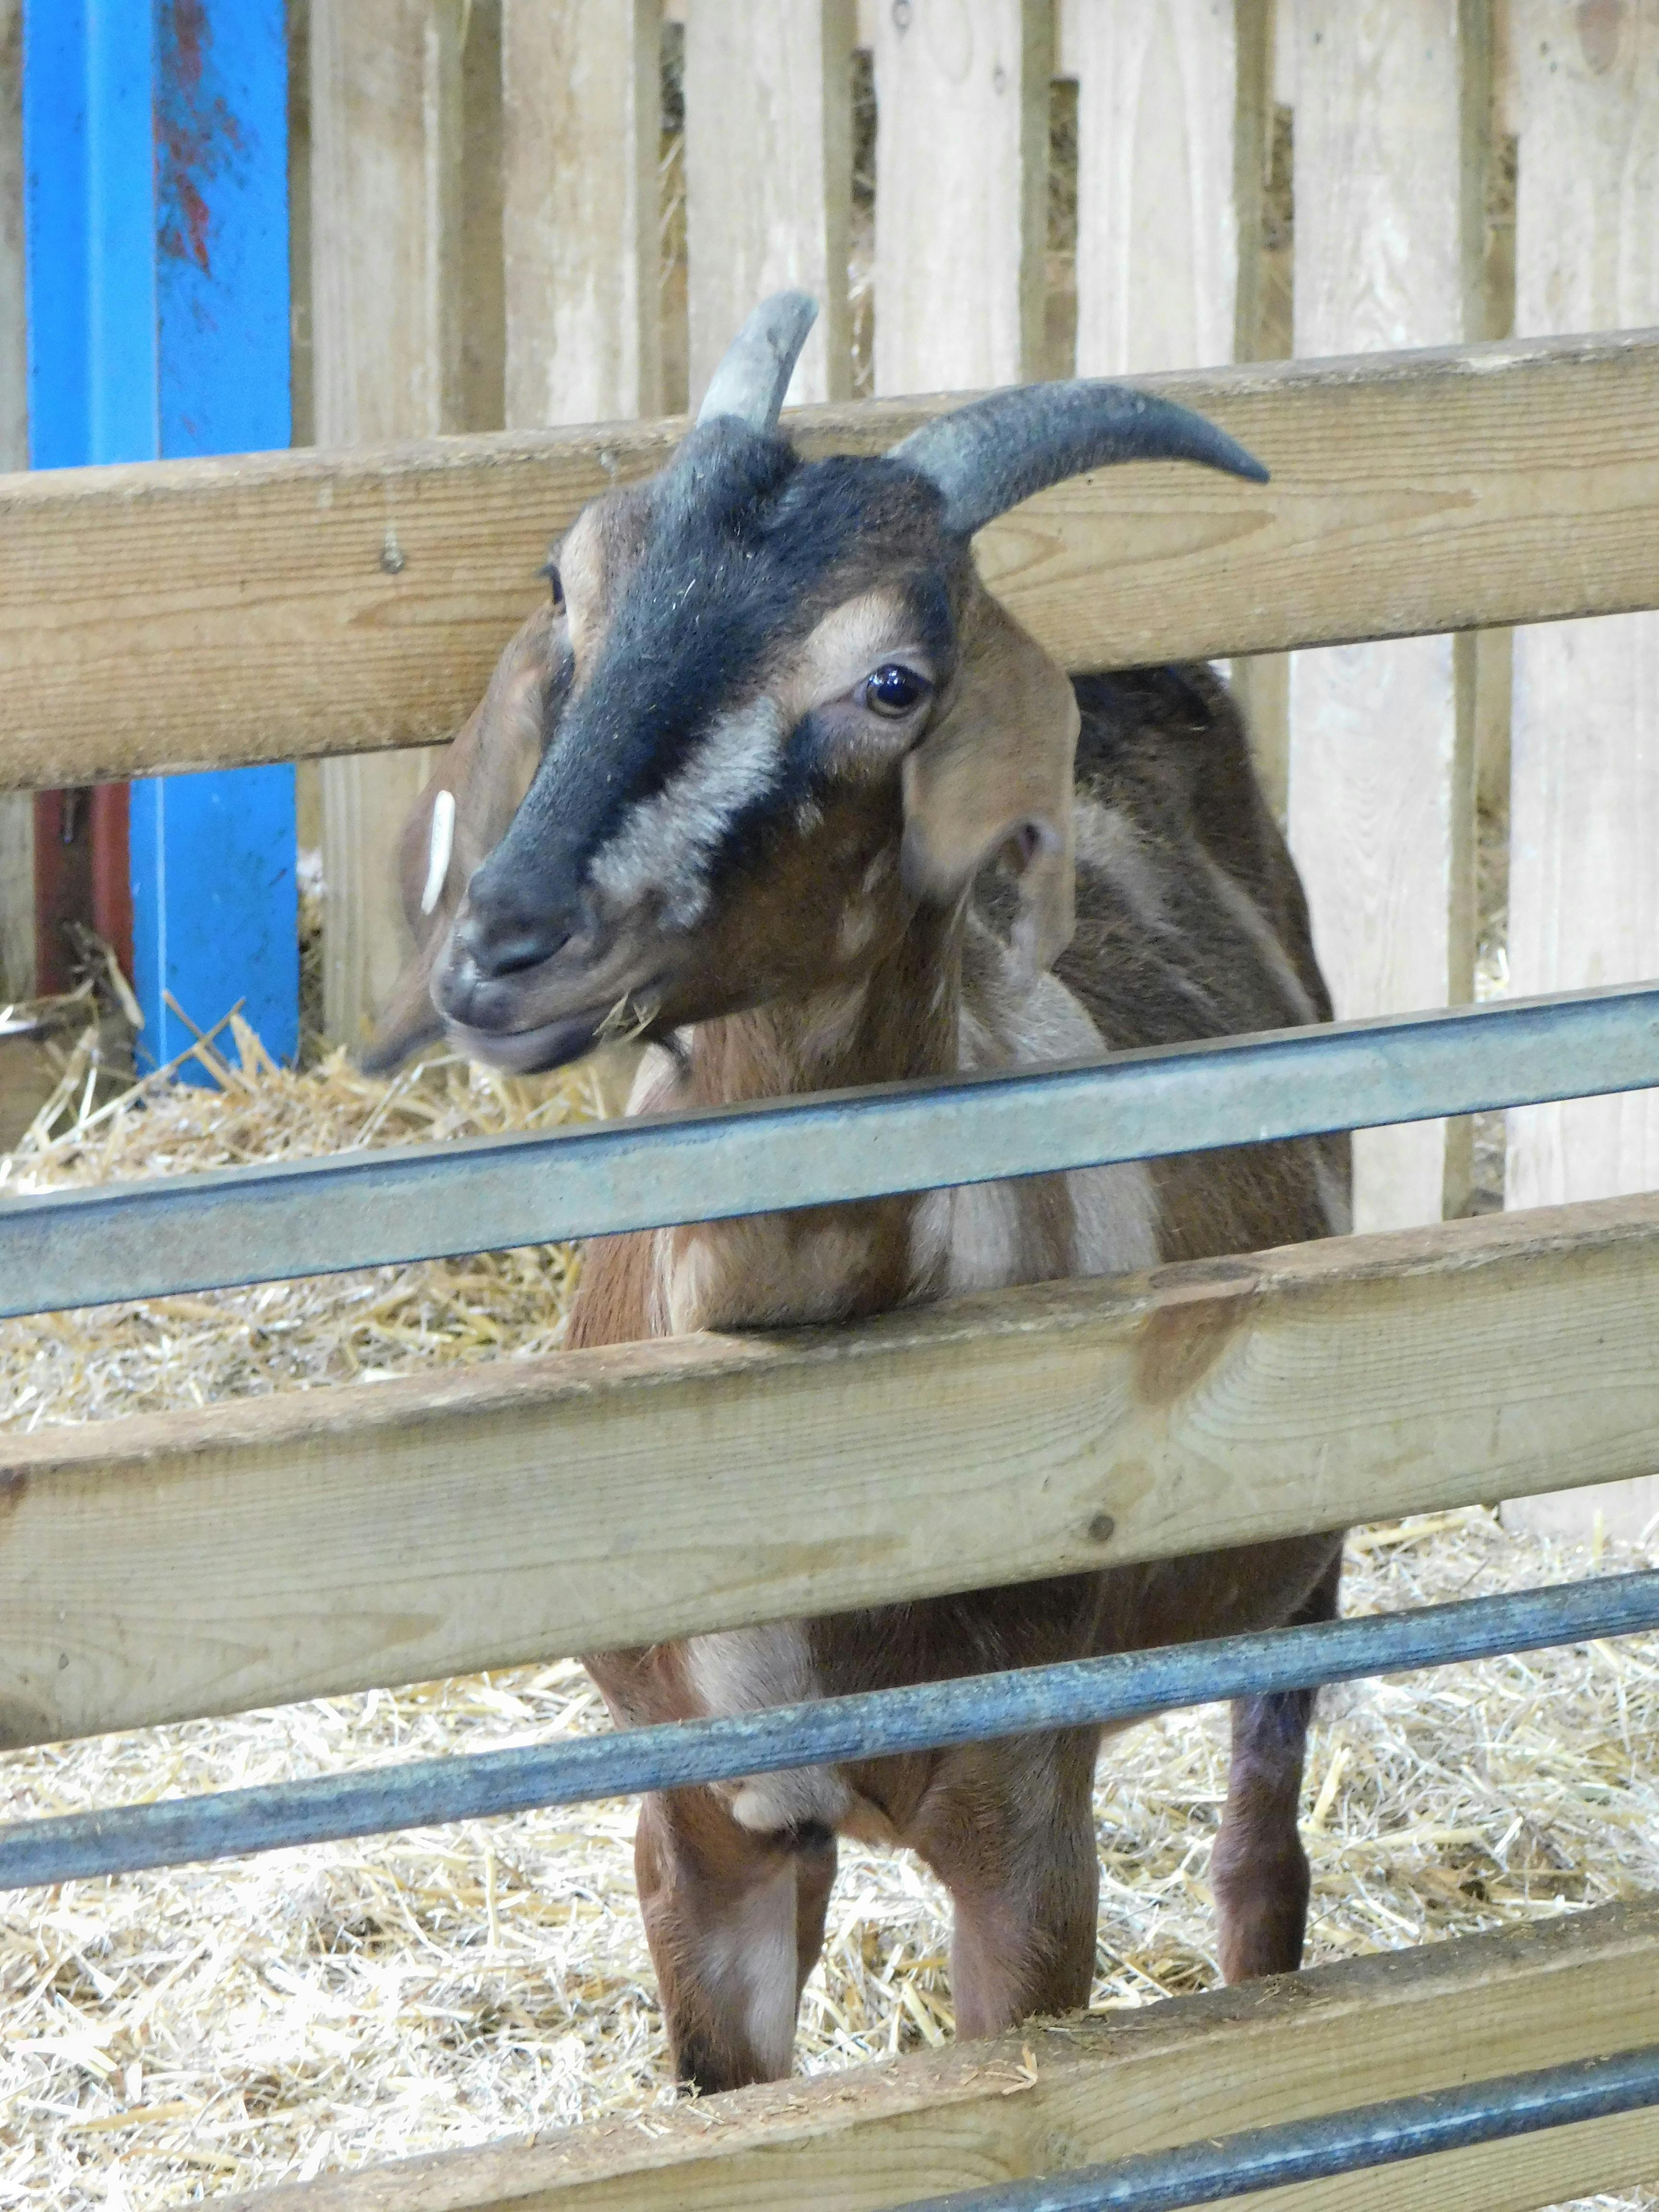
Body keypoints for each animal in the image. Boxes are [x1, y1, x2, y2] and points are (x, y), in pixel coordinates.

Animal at [373, 299, 1354, 2105]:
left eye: (891, 680)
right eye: (571, 583)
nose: (508, 942)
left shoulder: (1024, 1834)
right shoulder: (702, 1825)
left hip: (1302, 1553)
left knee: (1263, 1856)